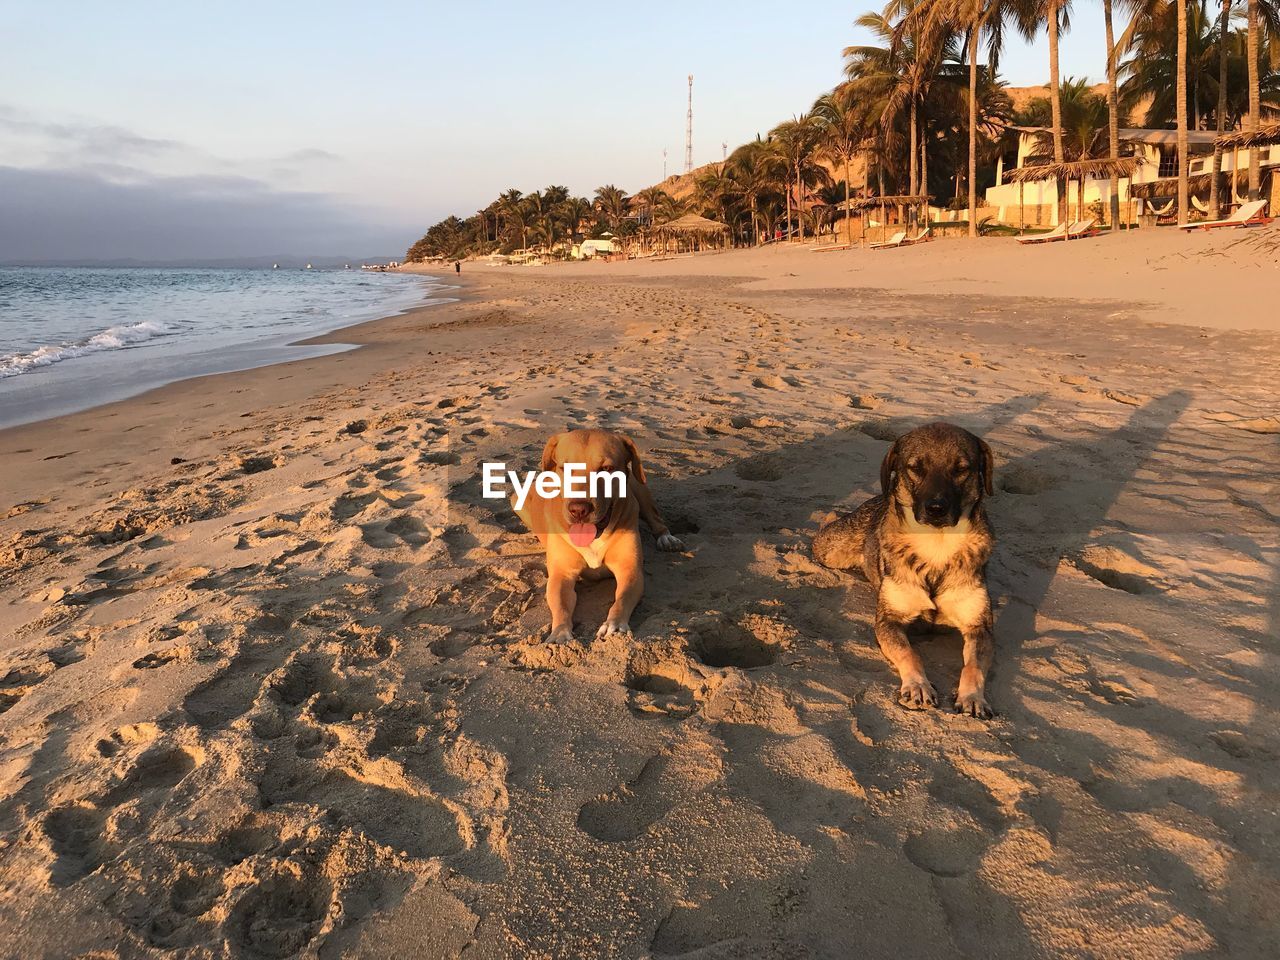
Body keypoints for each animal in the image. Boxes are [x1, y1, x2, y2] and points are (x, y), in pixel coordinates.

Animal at [514, 430, 686, 642]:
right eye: (565, 468)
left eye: (607, 469)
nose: (579, 509)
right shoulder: (561, 575)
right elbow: (561, 604)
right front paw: (560, 633)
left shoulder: (630, 570)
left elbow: (622, 598)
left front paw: (615, 625)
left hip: (639, 485)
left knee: (654, 517)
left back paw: (667, 538)